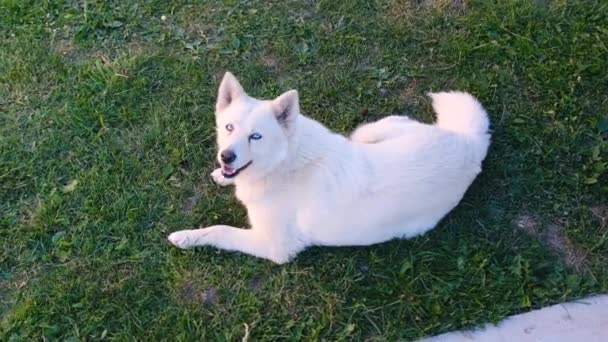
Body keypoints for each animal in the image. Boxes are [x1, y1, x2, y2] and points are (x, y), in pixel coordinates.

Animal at [169, 72, 492, 264]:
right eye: (229, 127)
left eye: (256, 136)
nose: (226, 157)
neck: (284, 165)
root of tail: (468, 143)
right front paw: (222, 178)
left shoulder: (275, 247)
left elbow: (220, 231)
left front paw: (186, 237)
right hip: (370, 132)